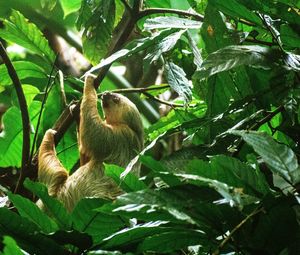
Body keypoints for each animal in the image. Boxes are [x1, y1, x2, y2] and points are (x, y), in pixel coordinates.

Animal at [37, 74, 144, 211]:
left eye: (115, 99)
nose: (107, 94)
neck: (135, 132)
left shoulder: (120, 136)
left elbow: (93, 135)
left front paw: (90, 82)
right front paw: (76, 112)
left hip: (57, 199)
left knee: (55, 174)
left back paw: (49, 138)